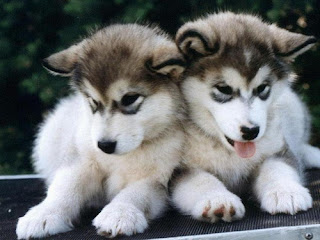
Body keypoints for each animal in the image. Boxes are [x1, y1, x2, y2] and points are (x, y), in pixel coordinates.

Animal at [16, 23, 186, 238]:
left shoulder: (157, 179)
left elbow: (135, 193)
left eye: (129, 99)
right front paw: (43, 214)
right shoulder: (82, 162)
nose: (105, 145)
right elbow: (64, 187)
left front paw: (120, 213)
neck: (124, 157)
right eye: (93, 102)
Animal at [170, 12, 320, 224]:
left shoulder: (277, 150)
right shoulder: (177, 170)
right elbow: (201, 180)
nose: (251, 131)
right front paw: (218, 199)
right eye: (224, 89)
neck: (229, 152)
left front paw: (285, 191)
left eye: (262, 88)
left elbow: (277, 167)